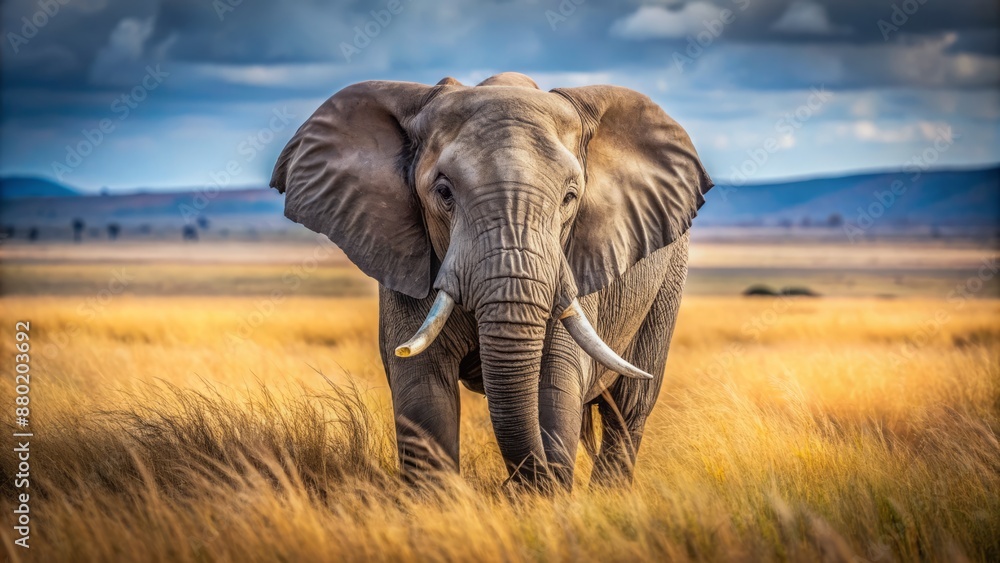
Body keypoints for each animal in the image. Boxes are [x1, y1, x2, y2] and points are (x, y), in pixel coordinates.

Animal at [270, 72, 713, 490]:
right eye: (444, 192)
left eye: (570, 197)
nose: (508, 485)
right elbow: (423, 388)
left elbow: (556, 379)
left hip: (668, 281)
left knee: (630, 406)